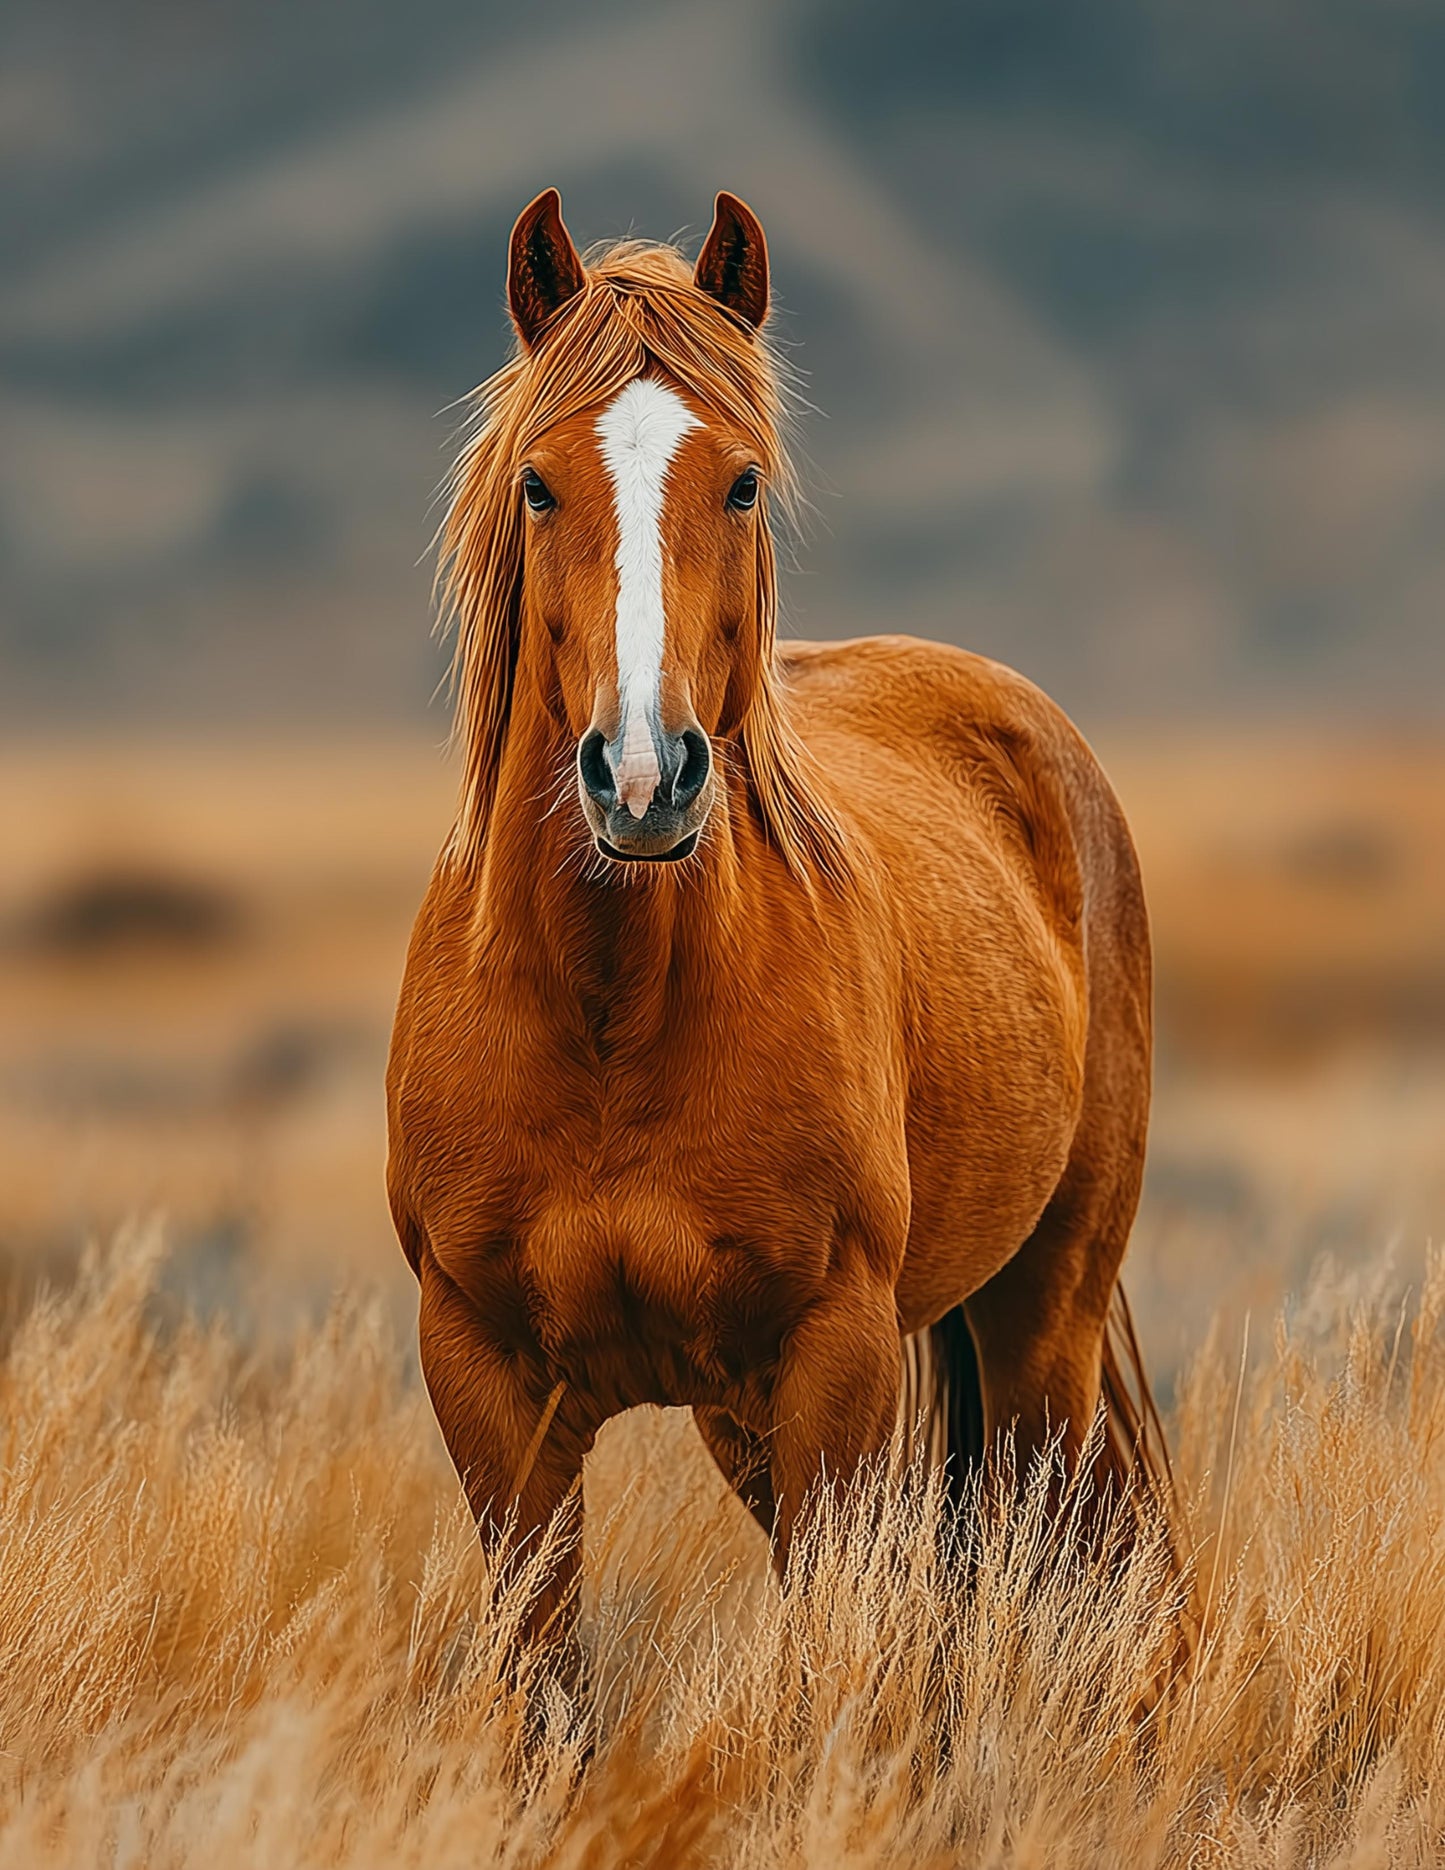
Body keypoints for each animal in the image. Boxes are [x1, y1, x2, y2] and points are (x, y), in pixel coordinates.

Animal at [386, 187, 1170, 1652]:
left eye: (740, 481)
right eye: (538, 483)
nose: (643, 775)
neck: (611, 1010)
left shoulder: (832, 1360)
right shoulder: (487, 1382)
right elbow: (544, 1675)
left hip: (1043, 1318)